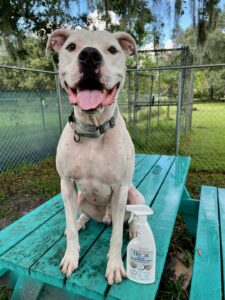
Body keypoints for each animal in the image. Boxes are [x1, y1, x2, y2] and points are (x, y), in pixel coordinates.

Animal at [46, 29, 145, 284]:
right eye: (71, 47)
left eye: (112, 49)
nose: (90, 56)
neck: (93, 129)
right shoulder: (67, 184)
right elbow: (70, 227)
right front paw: (71, 255)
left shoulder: (120, 189)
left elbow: (117, 235)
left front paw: (115, 265)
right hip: (81, 197)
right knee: (81, 215)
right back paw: (80, 221)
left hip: (135, 196)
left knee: (133, 218)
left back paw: (134, 229)